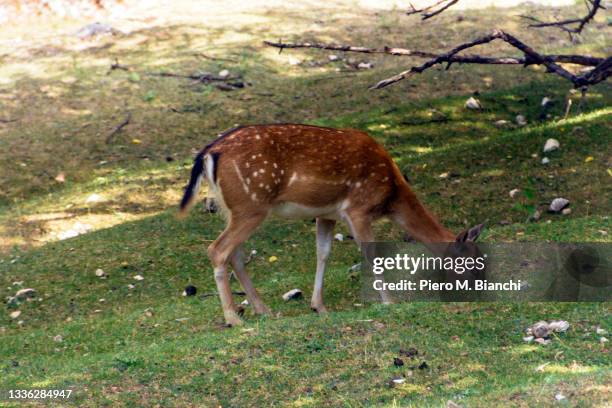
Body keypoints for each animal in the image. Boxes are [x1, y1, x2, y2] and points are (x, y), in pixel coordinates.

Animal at [177, 122, 482, 326]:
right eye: (472, 263)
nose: (478, 293)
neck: (391, 195)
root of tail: (208, 153)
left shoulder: (327, 214)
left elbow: (323, 253)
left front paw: (318, 307)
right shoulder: (358, 208)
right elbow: (372, 254)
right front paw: (389, 302)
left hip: (233, 209)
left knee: (235, 254)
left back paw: (264, 310)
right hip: (250, 206)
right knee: (218, 250)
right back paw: (233, 318)